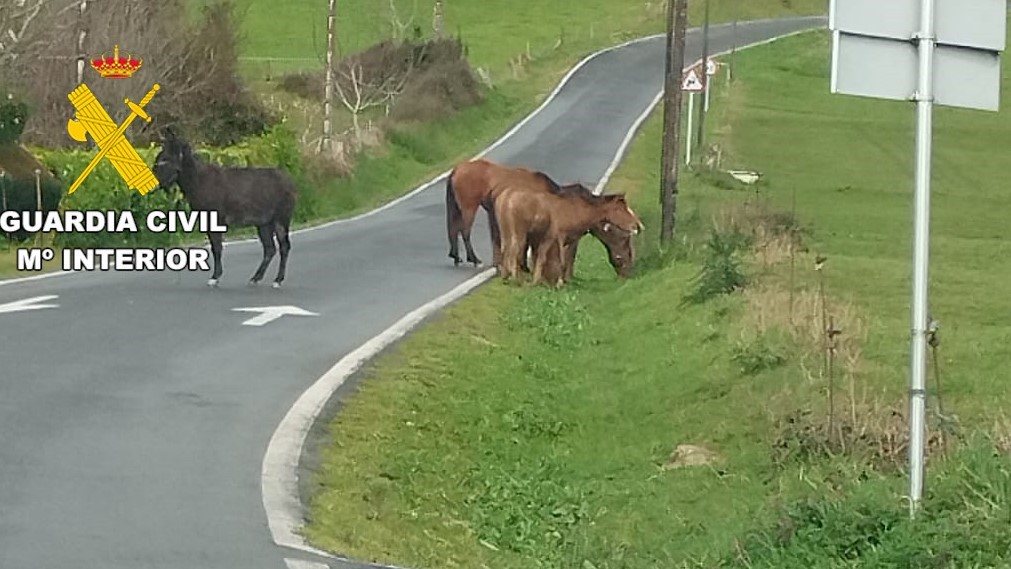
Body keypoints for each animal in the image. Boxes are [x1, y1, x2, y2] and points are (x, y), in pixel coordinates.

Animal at [151, 130, 297, 289]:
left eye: (165, 159)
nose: (153, 185)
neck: (196, 181)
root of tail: (291, 182)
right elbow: (215, 247)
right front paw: (216, 277)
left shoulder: (215, 219)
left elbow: (217, 248)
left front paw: (215, 277)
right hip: (264, 223)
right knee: (270, 249)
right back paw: (255, 278)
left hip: (281, 218)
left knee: (284, 247)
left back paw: (278, 280)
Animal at [446, 157, 634, 278]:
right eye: (623, 239)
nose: (627, 267)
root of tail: (456, 170)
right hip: (469, 206)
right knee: (464, 231)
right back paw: (474, 259)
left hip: (461, 208)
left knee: (455, 230)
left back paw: (457, 257)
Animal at [493, 184, 642, 287]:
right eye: (620, 209)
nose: (637, 226)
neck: (577, 210)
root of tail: (504, 197)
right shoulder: (559, 237)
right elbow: (561, 260)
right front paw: (559, 282)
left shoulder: (556, 239)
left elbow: (544, 259)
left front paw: (541, 281)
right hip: (518, 234)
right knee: (514, 255)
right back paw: (518, 280)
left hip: (506, 233)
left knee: (505, 251)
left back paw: (506, 277)